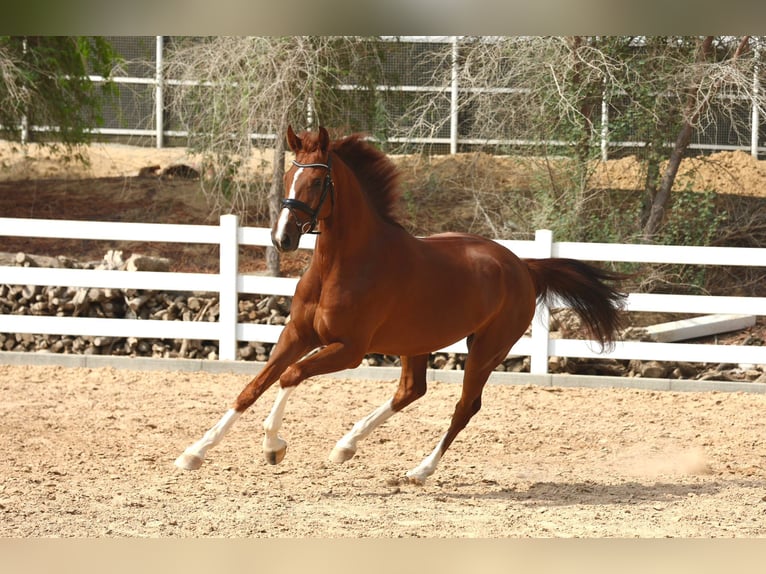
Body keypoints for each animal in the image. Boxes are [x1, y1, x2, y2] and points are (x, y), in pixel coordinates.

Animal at [174, 126, 626, 484]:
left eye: (317, 183)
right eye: (288, 175)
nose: (282, 238)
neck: (342, 264)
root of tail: (523, 266)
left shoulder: (350, 350)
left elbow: (290, 377)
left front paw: (273, 447)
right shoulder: (297, 335)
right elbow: (252, 388)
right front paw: (193, 453)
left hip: (486, 349)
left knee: (465, 406)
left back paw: (419, 470)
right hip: (417, 342)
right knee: (412, 390)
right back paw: (346, 446)